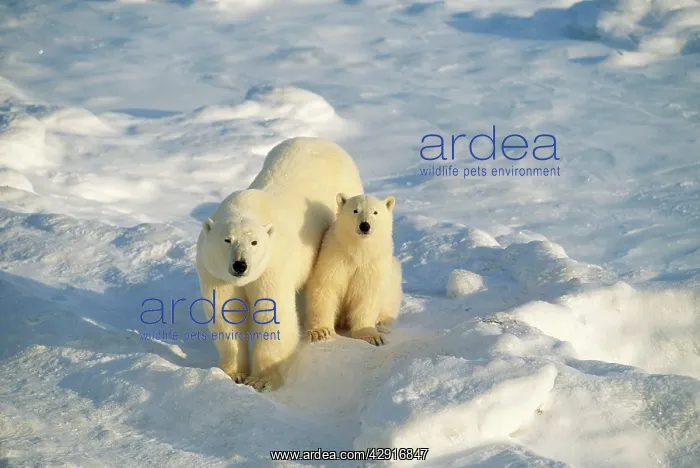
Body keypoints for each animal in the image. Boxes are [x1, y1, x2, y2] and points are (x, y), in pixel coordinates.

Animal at [196, 137, 364, 391]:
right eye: (227, 240)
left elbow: (272, 312)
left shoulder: (272, 266)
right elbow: (227, 314)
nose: (240, 265)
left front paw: (261, 379)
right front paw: (232, 373)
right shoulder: (214, 272)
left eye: (254, 242)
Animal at [305, 194, 402, 346]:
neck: (358, 251)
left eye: (375, 212)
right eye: (355, 210)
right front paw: (321, 332)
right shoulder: (335, 256)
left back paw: (382, 323)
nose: (365, 225)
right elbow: (326, 286)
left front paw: (372, 335)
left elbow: (368, 294)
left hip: (393, 273)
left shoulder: (373, 263)